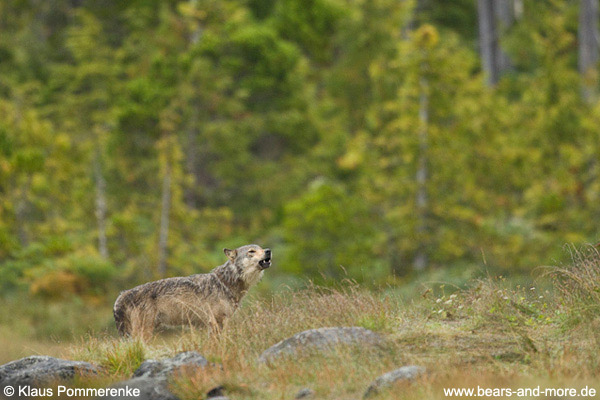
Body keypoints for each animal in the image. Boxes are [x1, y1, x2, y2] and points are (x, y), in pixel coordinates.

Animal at [113, 244, 272, 338]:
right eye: (251, 251)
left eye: (261, 247)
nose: (268, 251)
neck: (225, 283)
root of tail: (123, 294)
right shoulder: (215, 321)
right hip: (143, 331)